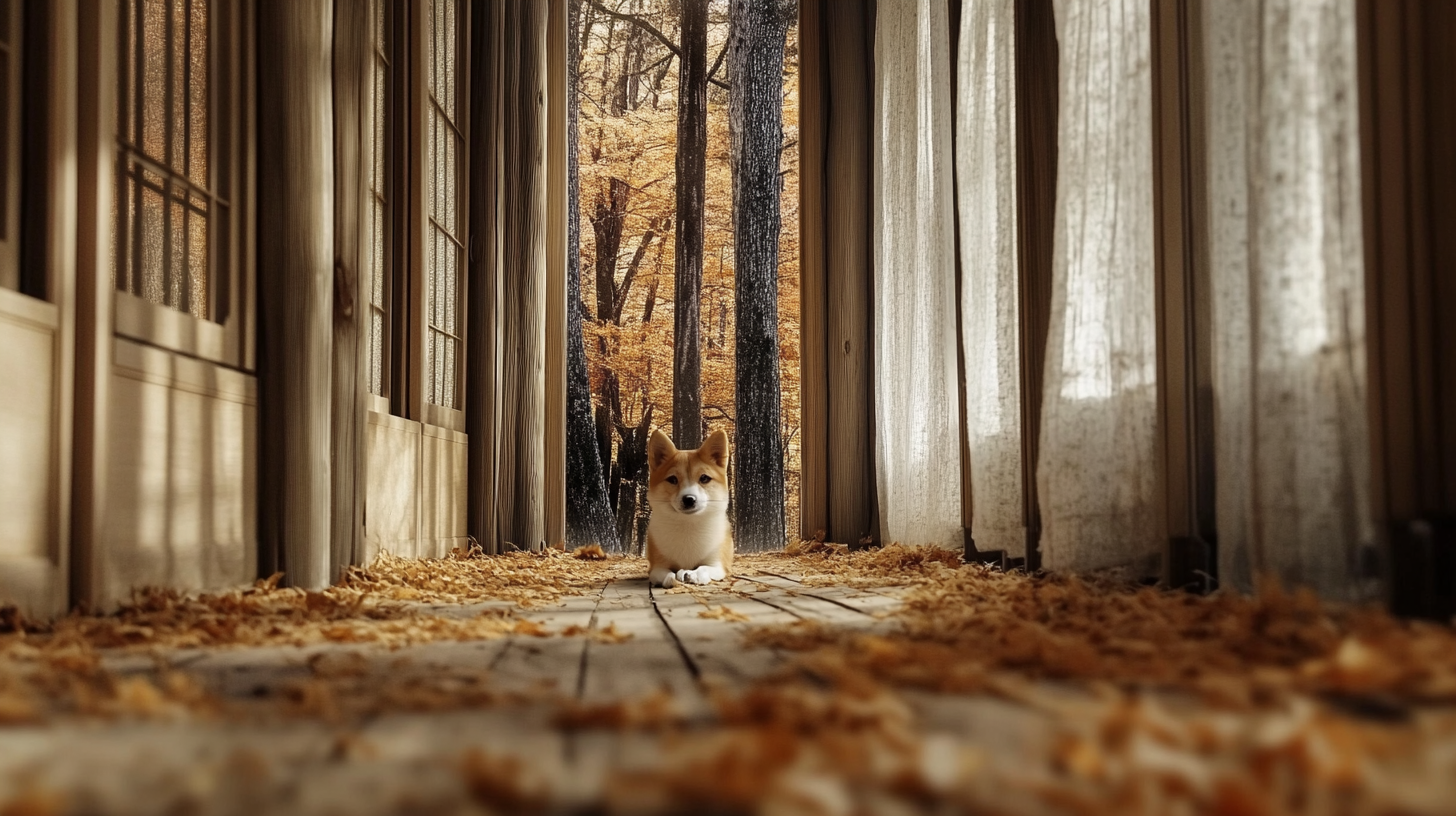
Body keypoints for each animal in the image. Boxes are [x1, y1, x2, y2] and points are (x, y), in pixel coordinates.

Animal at [649, 428, 733, 585]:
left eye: (704, 478)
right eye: (672, 479)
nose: (689, 499)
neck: (688, 524)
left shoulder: (717, 565)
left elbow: (704, 567)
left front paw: (694, 574)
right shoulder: (656, 567)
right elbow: (666, 574)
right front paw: (671, 578)